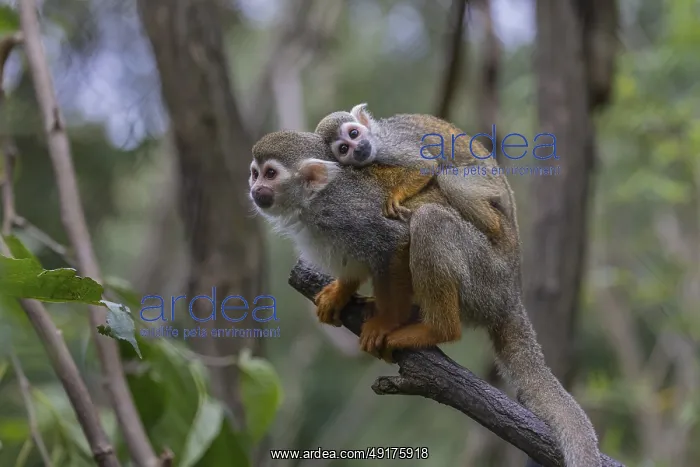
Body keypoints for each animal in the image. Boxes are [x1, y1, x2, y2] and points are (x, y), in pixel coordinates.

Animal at [249, 130, 601, 467]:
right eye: (254, 173)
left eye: (270, 174)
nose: (254, 189)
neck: (313, 202)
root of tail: (510, 295)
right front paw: (342, 291)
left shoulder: (348, 210)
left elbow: (394, 241)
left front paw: (386, 322)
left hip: (483, 279)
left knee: (430, 221)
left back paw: (436, 328)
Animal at [314, 103, 517, 252]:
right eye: (343, 149)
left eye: (354, 133)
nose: (358, 148)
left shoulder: (388, 145)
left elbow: (425, 165)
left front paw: (395, 196)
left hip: (488, 180)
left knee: (450, 181)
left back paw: (492, 227)